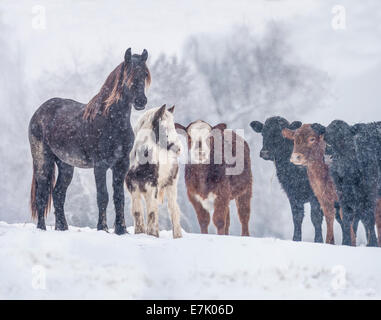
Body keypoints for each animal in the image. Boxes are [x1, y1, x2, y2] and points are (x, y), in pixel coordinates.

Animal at [28, 47, 150, 234]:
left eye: (144, 74)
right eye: (128, 75)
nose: (141, 101)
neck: (112, 121)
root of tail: (38, 112)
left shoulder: (121, 165)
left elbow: (119, 197)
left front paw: (121, 230)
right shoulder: (100, 166)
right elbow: (103, 196)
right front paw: (103, 228)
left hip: (65, 165)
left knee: (58, 193)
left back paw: (62, 227)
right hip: (43, 160)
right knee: (42, 193)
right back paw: (41, 228)